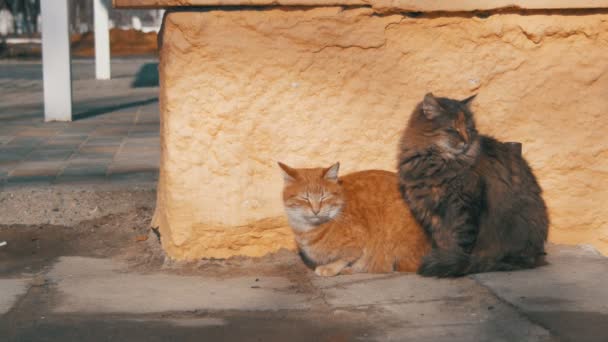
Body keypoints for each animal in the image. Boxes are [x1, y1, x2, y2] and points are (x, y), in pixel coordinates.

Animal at [278, 162, 430, 276]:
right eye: (305, 198)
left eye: (324, 197)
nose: (316, 210)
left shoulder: (361, 241)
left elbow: (347, 257)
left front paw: (331, 268)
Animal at [396, 93, 548, 278]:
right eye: (453, 130)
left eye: (468, 129)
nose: (466, 141)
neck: (434, 163)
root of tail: (535, 255)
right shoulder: (433, 213)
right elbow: (442, 241)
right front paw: (444, 259)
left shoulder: (464, 205)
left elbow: (461, 242)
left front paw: (452, 263)